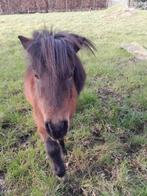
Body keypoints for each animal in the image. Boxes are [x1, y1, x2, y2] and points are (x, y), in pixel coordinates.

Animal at [18, 29, 95, 178]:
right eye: (36, 75)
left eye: (70, 73)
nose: (56, 127)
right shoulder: (39, 117)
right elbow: (51, 146)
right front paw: (59, 170)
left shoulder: (67, 114)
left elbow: (61, 137)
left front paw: (63, 154)